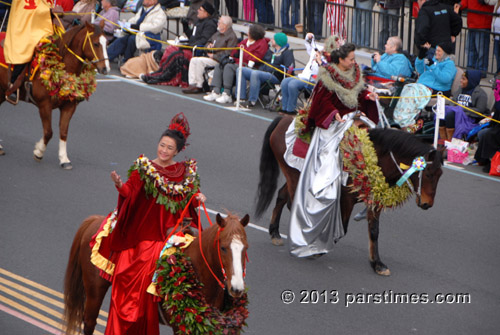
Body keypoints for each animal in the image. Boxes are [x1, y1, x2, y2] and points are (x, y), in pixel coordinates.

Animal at [0, 23, 109, 171]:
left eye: (107, 43)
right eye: (96, 43)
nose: (106, 69)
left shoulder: (69, 107)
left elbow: (63, 132)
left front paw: (64, 159)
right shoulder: (44, 105)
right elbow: (48, 132)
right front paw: (39, 152)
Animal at [63, 213, 250, 335]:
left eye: (245, 248)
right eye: (223, 247)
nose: (236, 288)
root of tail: (96, 220)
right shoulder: (181, 327)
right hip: (94, 292)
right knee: (89, 323)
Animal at [256, 117, 444, 276]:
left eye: (440, 174)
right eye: (428, 173)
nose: (427, 203)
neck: (376, 158)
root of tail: (284, 118)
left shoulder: (375, 199)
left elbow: (374, 231)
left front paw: (377, 264)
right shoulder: (348, 198)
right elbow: (344, 227)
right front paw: (318, 249)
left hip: (295, 174)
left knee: (282, 196)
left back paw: (275, 233)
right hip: (293, 174)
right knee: (291, 202)